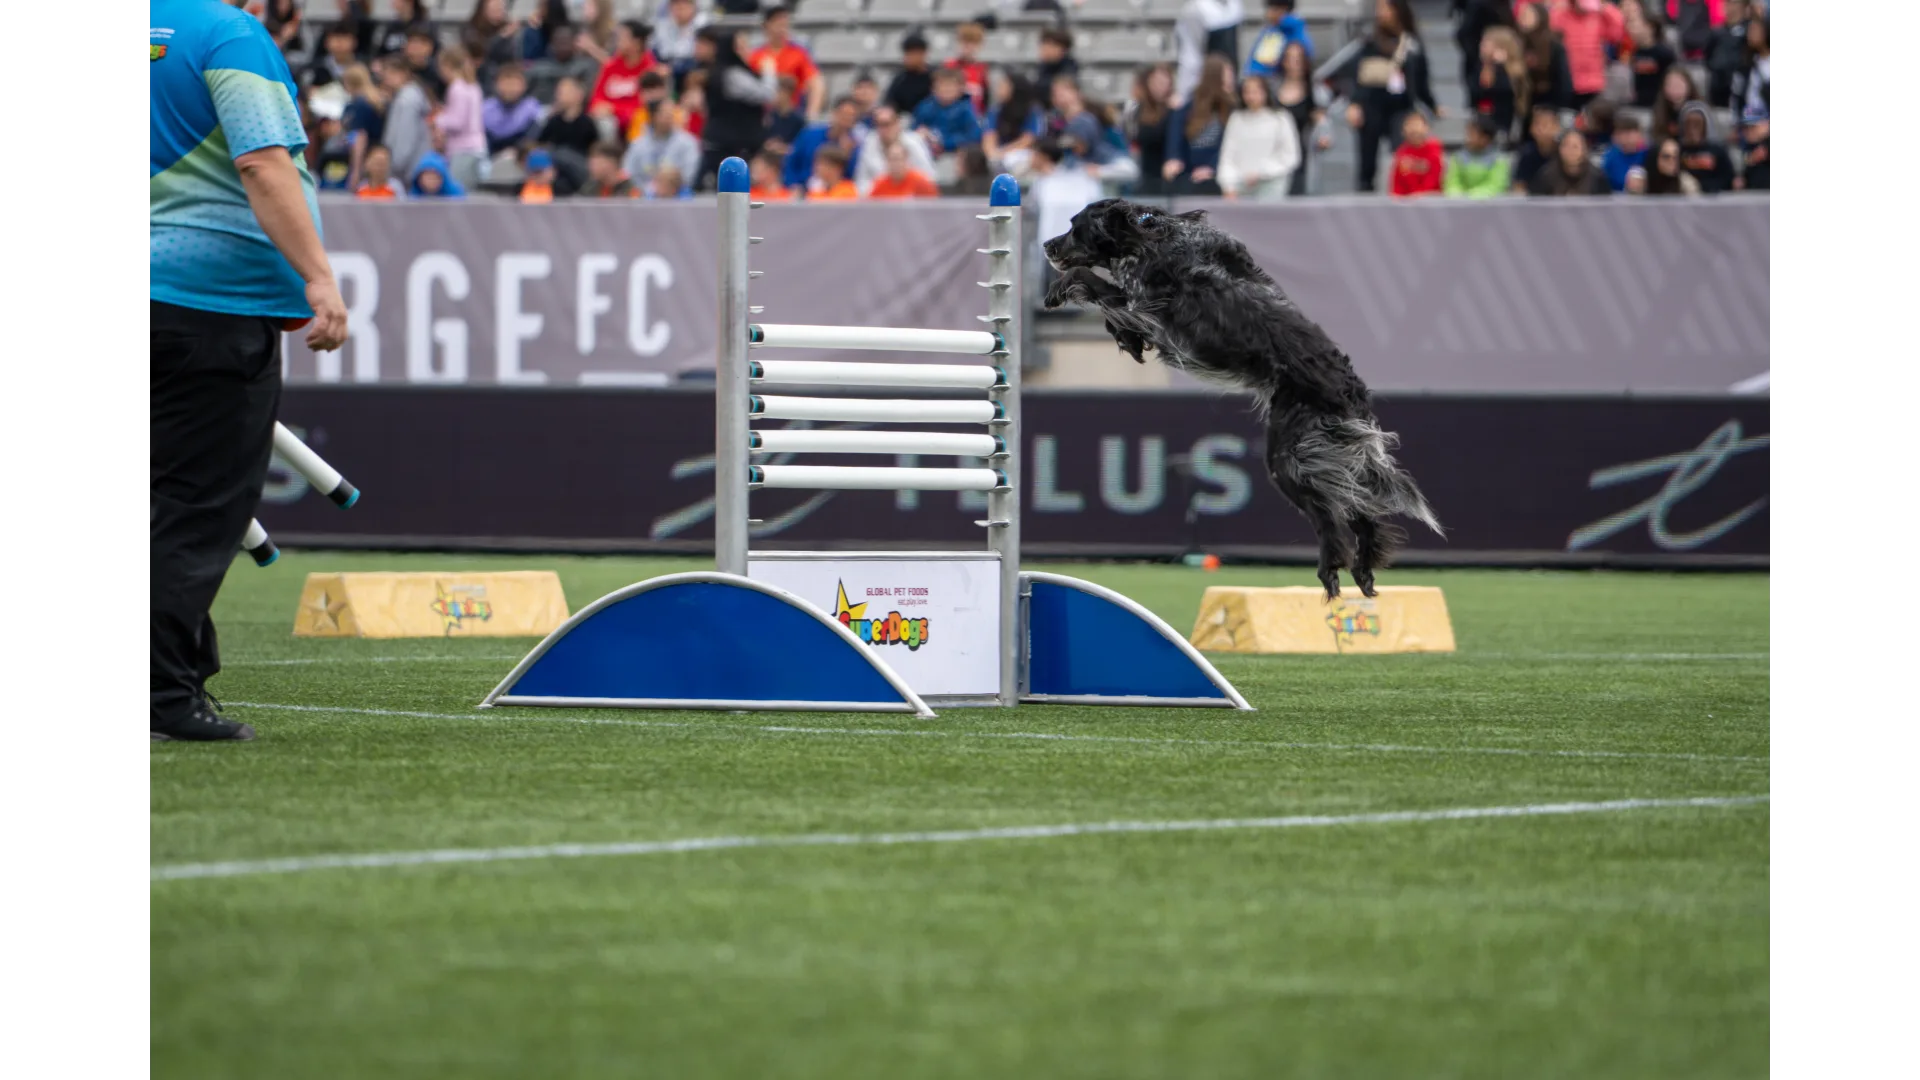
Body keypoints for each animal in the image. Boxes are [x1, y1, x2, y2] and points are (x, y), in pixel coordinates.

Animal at [1042, 199, 1442, 600]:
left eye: (1075, 225)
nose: (1047, 245)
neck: (1152, 237)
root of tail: (1350, 389)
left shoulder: (1147, 307)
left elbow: (1086, 277)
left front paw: (1061, 294)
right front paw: (1127, 339)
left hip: (1291, 460)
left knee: (1331, 515)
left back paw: (1331, 570)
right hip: (1324, 455)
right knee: (1360, 509)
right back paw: (1363, 570)